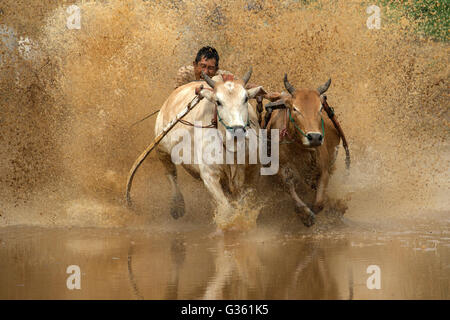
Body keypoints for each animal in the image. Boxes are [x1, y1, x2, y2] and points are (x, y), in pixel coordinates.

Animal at [264, 75, 342, 226]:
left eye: (320, 109)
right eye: (295, 109)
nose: (315, 137)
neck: (299, 149)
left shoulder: (324, 171)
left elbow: (319, 203)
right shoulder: (281, 171)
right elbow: (291, 190)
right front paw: (305, 215)